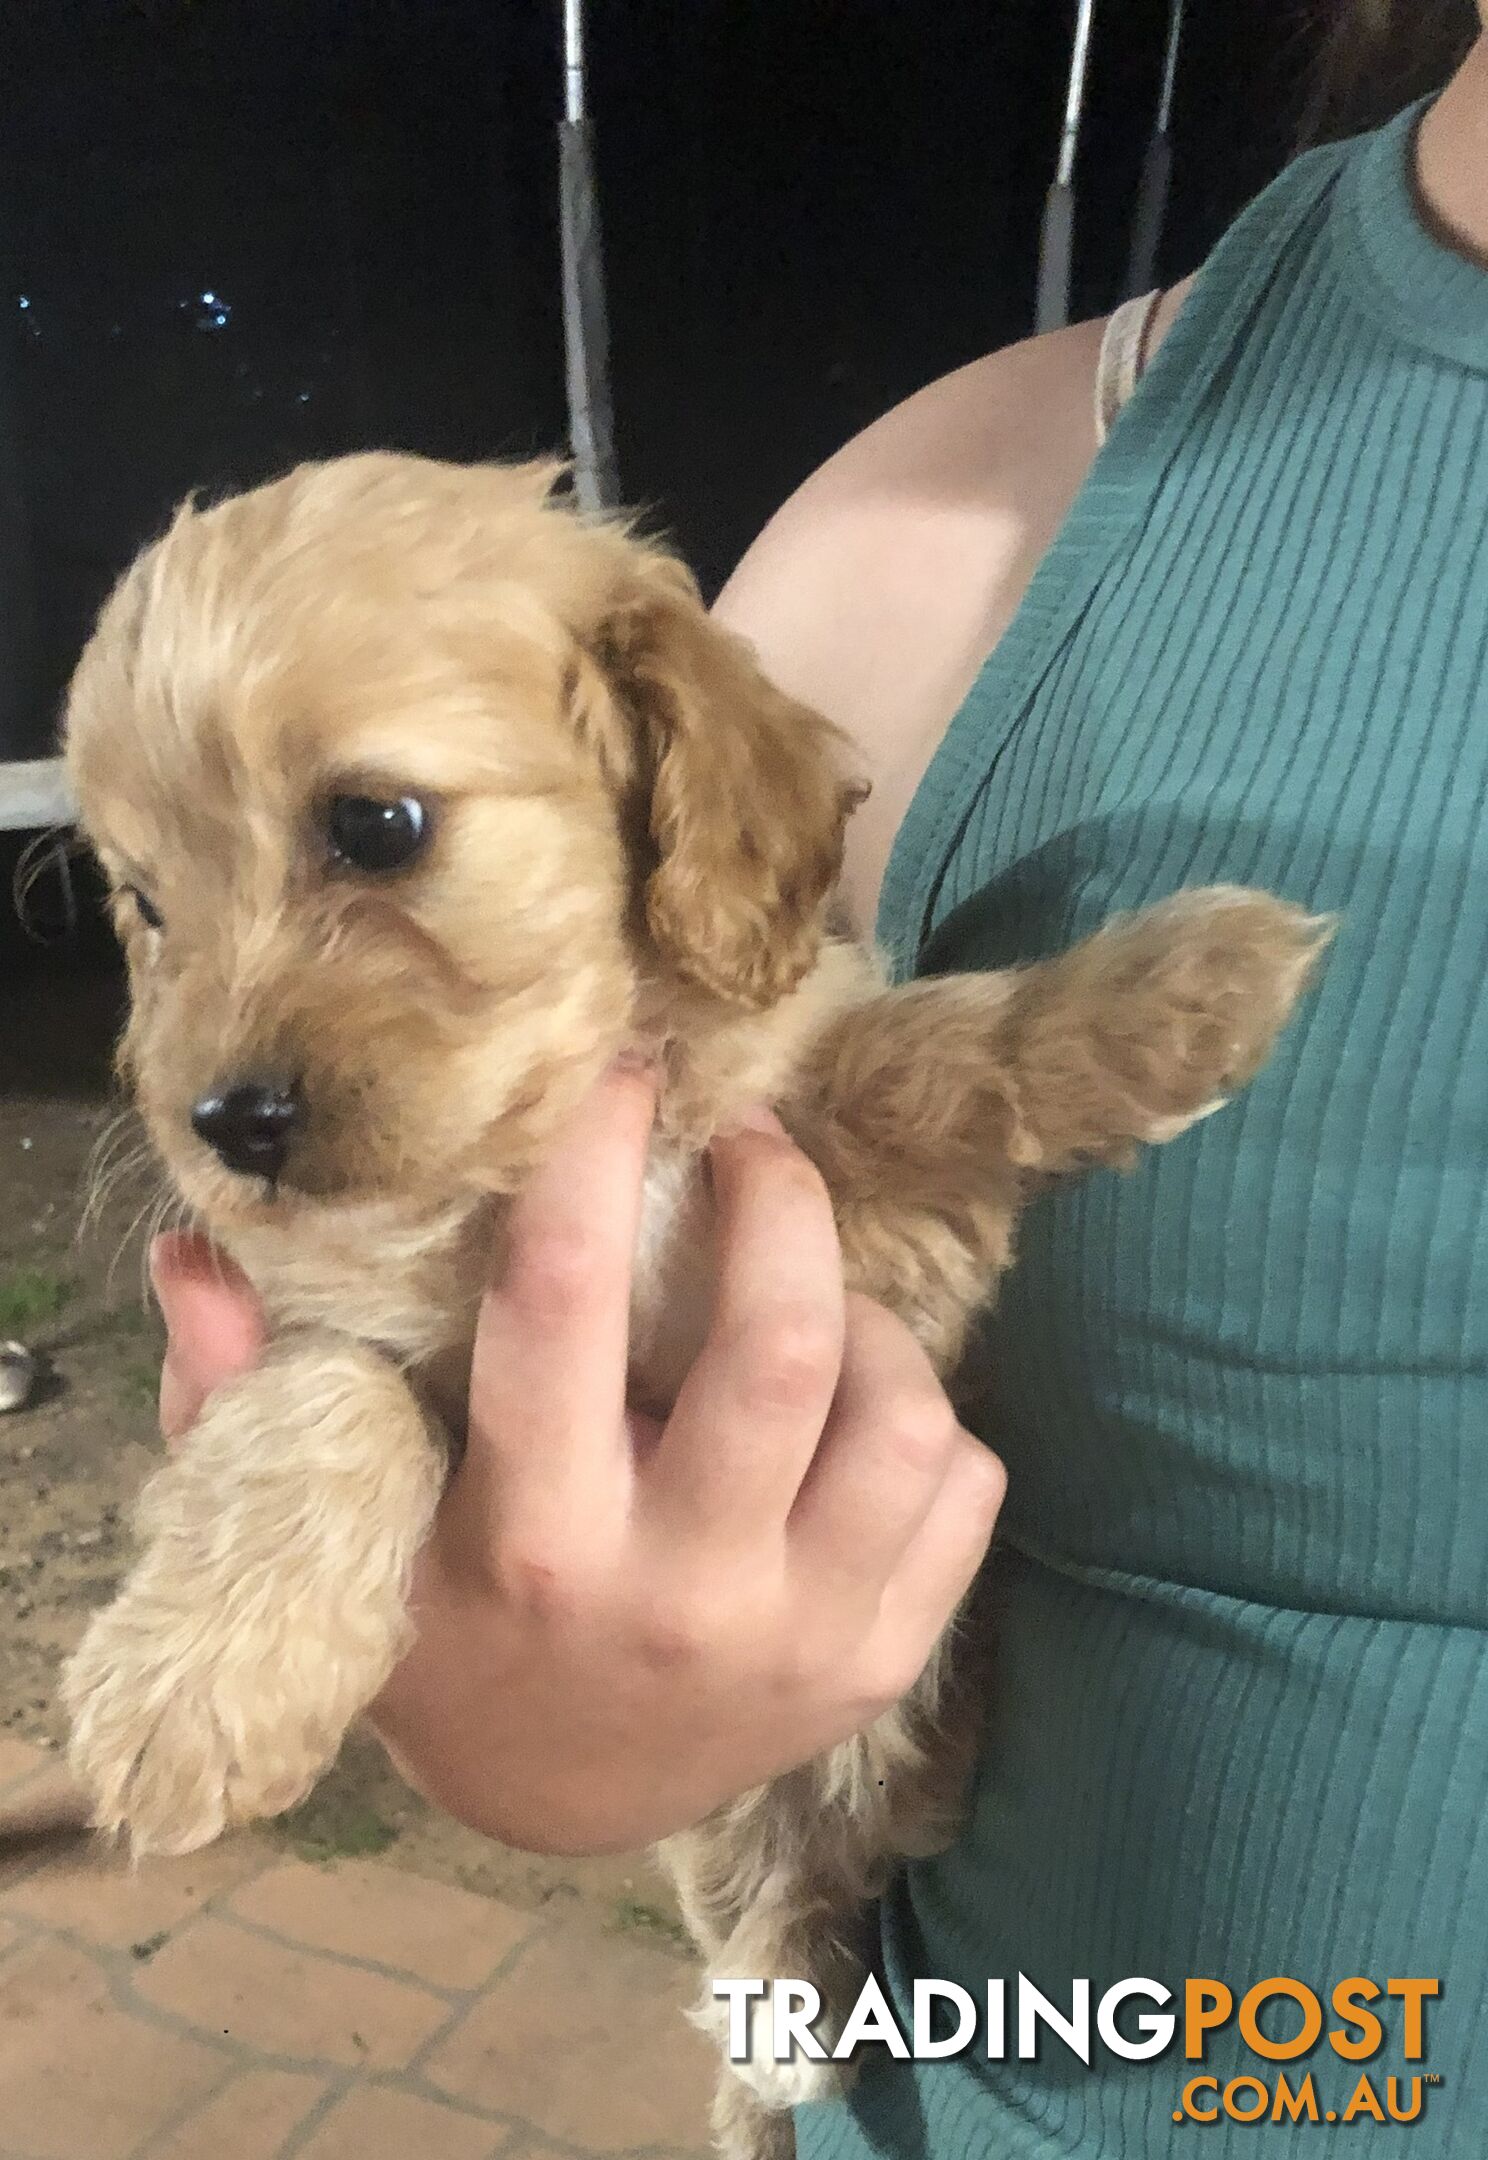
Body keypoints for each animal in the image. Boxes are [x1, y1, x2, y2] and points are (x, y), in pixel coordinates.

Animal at [63, 451, 1330, 2160]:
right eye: (142, 901)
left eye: (375, 824)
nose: (221, 1124)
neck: (569, 1136)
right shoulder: (338, 1326)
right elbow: (328, 1397)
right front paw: (195, 1685)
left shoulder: (865, 1212)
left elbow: (922, 1050)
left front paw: (1183, 987)